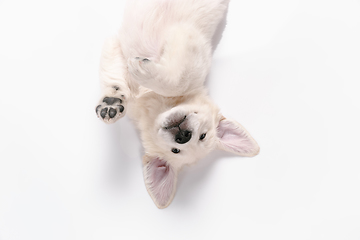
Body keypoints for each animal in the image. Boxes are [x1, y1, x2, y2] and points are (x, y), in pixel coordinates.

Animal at [95, 0, 258, 208]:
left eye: (202, 136)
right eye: (176, 149)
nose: (183, 135)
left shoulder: (189, 39)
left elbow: (177, 81)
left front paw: (143, 70)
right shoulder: (115, 46)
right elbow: (113, 75)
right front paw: (111, 101)